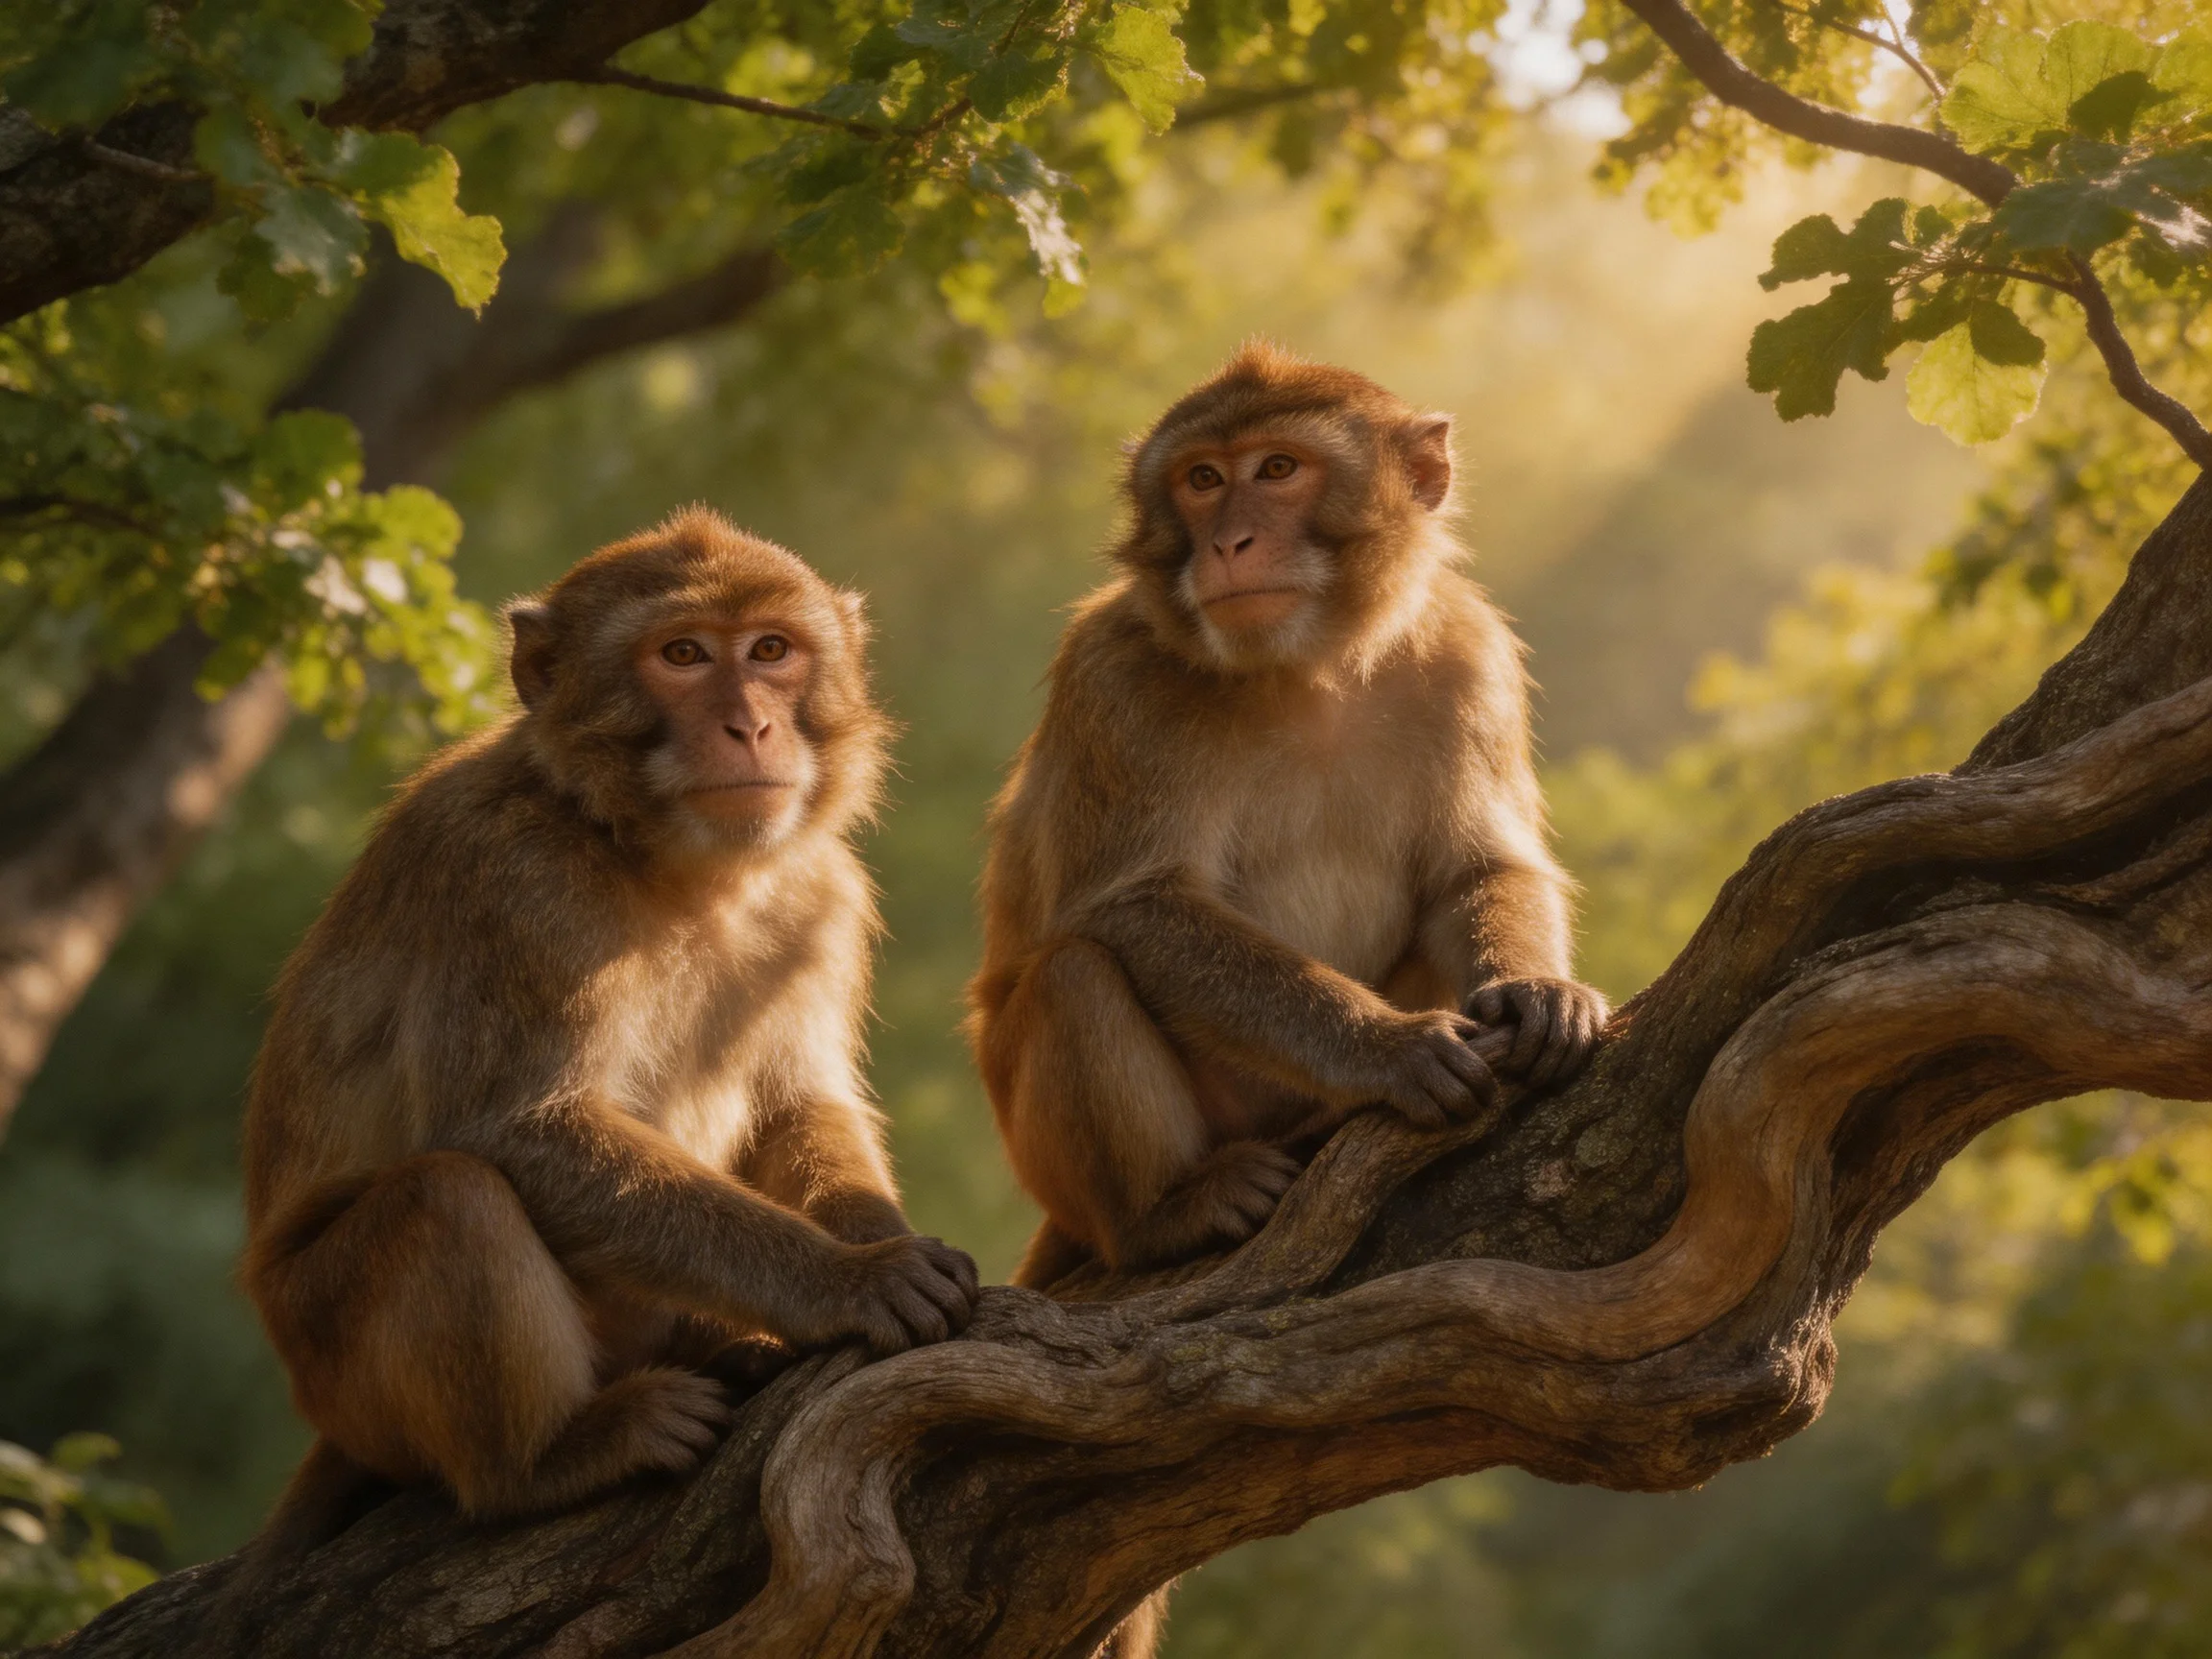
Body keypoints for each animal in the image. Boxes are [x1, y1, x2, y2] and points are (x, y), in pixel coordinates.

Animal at [235, 508, 979, 1573]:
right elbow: (514, 1128)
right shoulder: (506, 880)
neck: (665, 860)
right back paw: (544, 1462)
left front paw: (884, 1237)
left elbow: (800, 1103)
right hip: (333, 1360)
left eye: (770, 651)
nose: (749, 724)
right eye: (682, 655)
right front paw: (848, 1279)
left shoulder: (822, 893)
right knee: (446, 1195)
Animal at [968, 343, 1610, 1292]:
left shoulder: (1472, 654)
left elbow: (1477, 868)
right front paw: (1386, 1049)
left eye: (1277, 469)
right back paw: (1166, 1214)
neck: (1307, 669)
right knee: (1072, 974)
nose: (1229, 542)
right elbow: (1134, 904)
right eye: (1202, 479)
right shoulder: (1113, 677)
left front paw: (1538, 993)